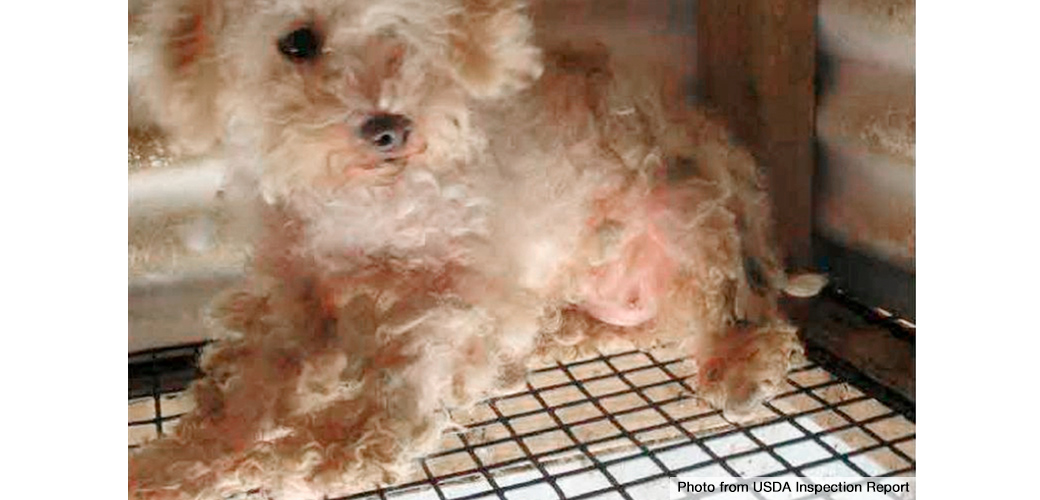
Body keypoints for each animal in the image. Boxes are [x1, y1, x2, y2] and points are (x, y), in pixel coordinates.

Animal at [130, 0, 807, 494]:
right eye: (298, 41)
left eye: (411, 33)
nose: (390, 128)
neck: (369, 203)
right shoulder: (294, 290)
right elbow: (238, 395)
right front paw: (179, 467)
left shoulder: (453, 298)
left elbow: (397, 395)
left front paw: (322, 455)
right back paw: (568, 331)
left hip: (690, 217)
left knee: (748, 315)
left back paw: (738, 368)